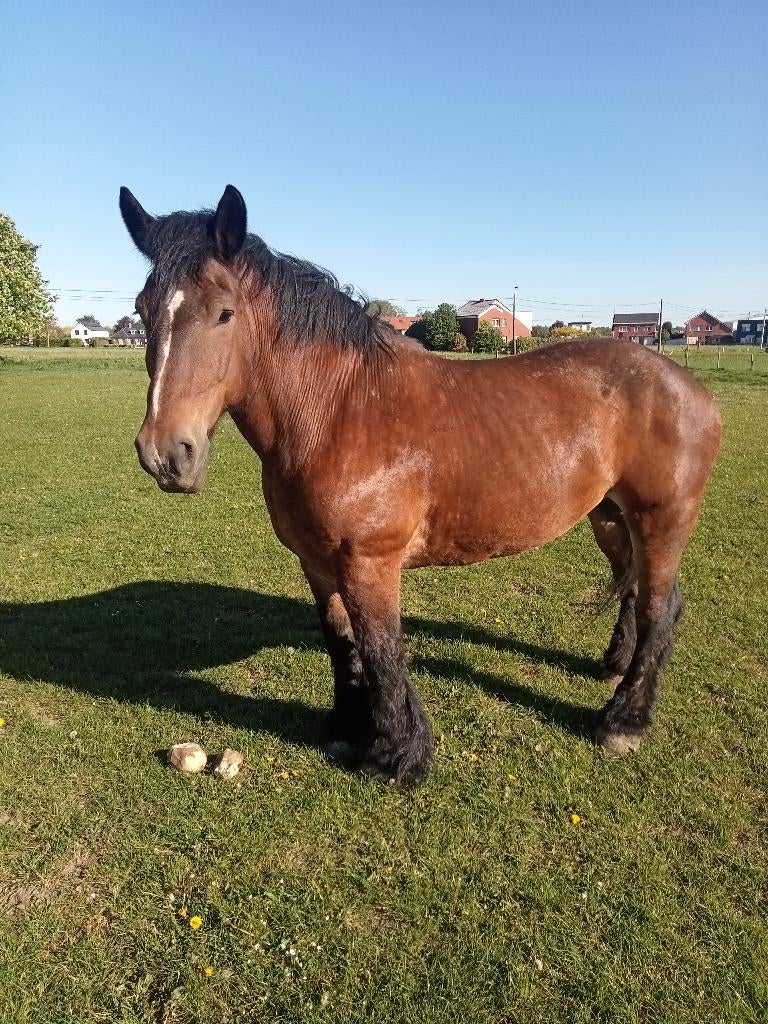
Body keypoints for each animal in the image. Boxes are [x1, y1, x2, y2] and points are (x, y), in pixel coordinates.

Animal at [119, 184, 722, 786]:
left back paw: (623, 722)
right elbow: (343, 644)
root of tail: (688, 386)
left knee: (659, 609)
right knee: (637, 592)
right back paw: (613, 669)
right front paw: (346, 728)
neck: (340, 411)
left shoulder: (369, 563)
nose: (166, 455)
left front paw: (396, 755)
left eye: (225, 313)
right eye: (143, 311)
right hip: (610, 516)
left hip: (660, 521)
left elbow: (382, 651)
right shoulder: (316, 563)